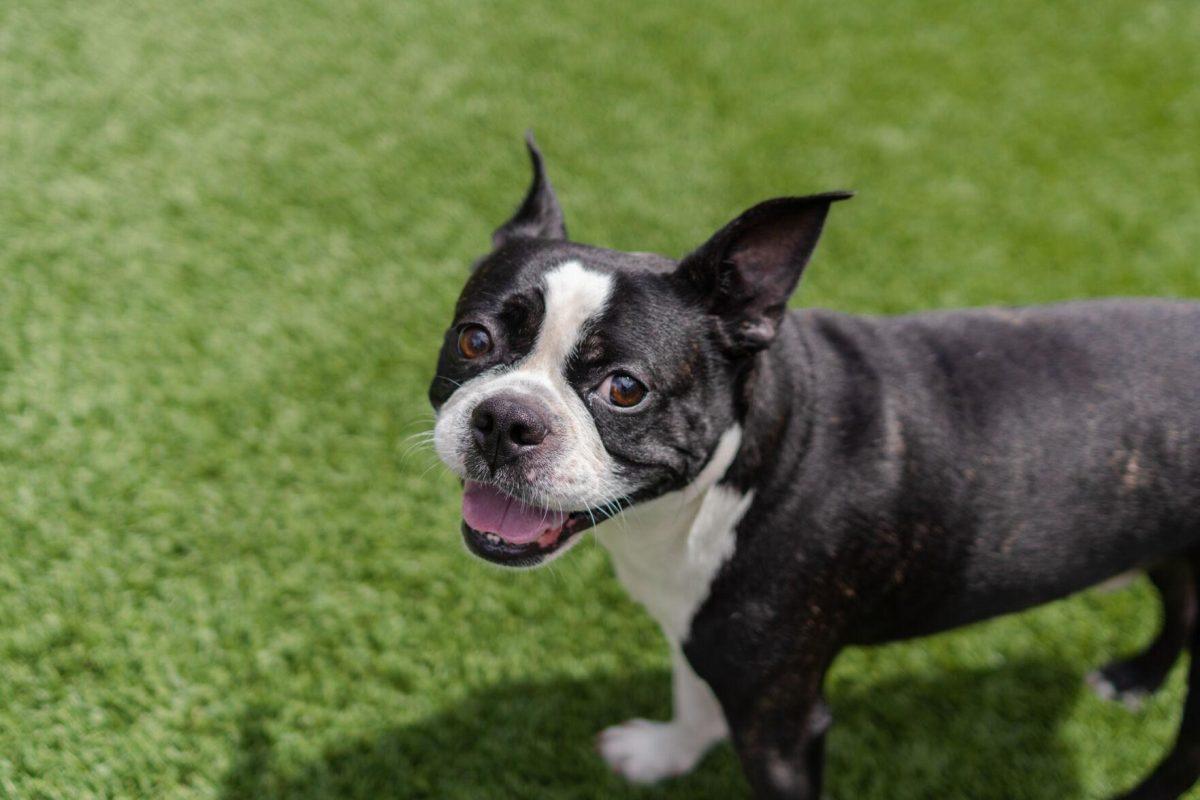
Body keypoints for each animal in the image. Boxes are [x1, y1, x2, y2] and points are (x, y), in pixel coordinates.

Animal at [429, 134, 1200, 796]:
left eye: (624, 388)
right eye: (473, 340)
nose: (508, 420)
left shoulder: (781, 722)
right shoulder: (697, 631)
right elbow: (693, 698)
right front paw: (664, 755)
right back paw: (1138, 677)